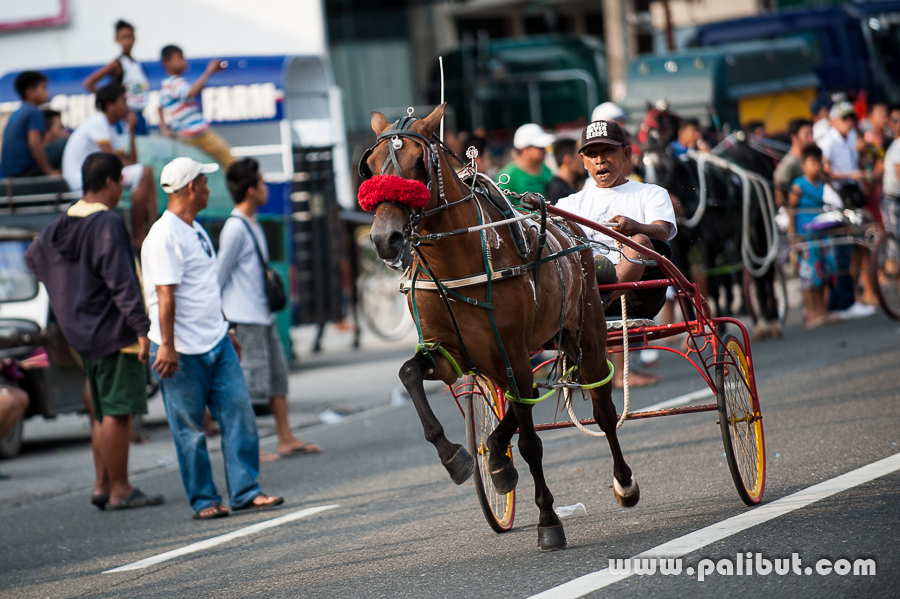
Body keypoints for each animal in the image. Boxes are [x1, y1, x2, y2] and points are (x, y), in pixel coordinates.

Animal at [360, 104, 639, 551]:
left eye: (418, 164)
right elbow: (409, 374)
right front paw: (456, 456)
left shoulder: (511, 350)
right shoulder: (448, 353)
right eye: (369, 168)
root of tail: (574, 232)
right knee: (517, 399)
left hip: (587, 329)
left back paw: (624, 482)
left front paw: (547, 520)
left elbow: (531, 442)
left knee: (601, 408)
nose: (386, 239)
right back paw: (495, 459)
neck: (459, 261)